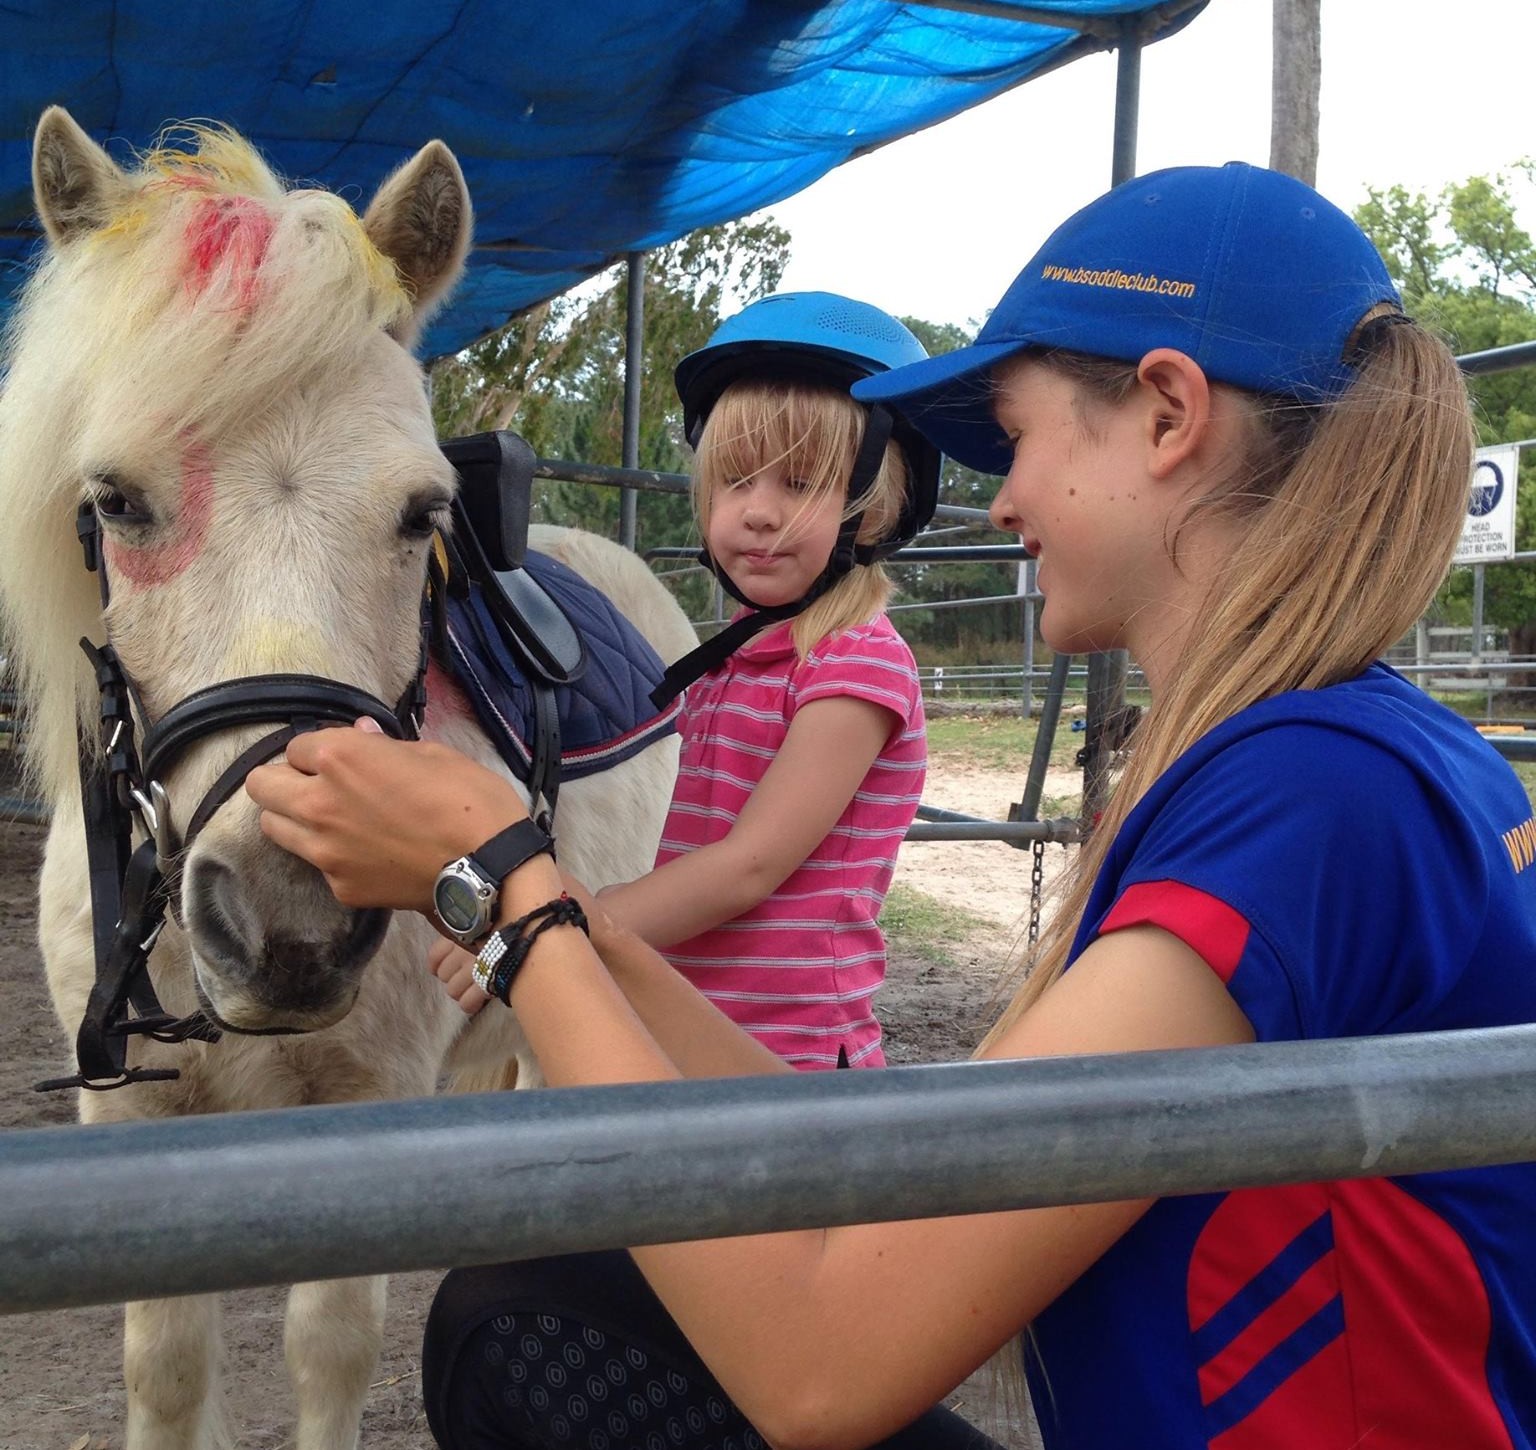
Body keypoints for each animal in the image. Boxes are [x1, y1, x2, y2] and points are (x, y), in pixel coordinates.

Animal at [0, 107, 695, 1450]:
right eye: (114, 500)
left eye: (423, 513)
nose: (290, 922)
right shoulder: (135, 1119)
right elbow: (165, 1362)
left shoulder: (364, 1112)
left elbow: (329, 1352)